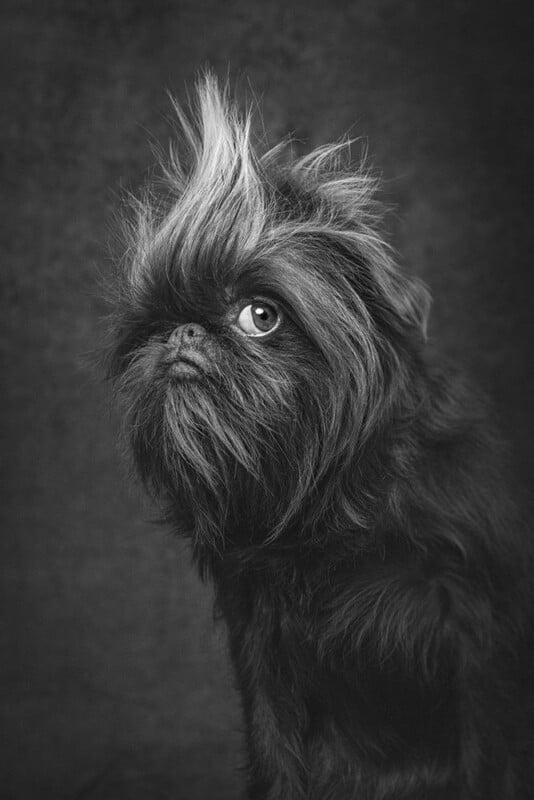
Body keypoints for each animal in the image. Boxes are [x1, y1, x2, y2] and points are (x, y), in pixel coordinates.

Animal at [105, 73, 534, 792]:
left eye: (260, 315)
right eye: (159, 318)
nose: (184, 333)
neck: (333, 507)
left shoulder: (484, 637)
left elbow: (490, 755)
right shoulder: (262, 646)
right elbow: (278, 754)